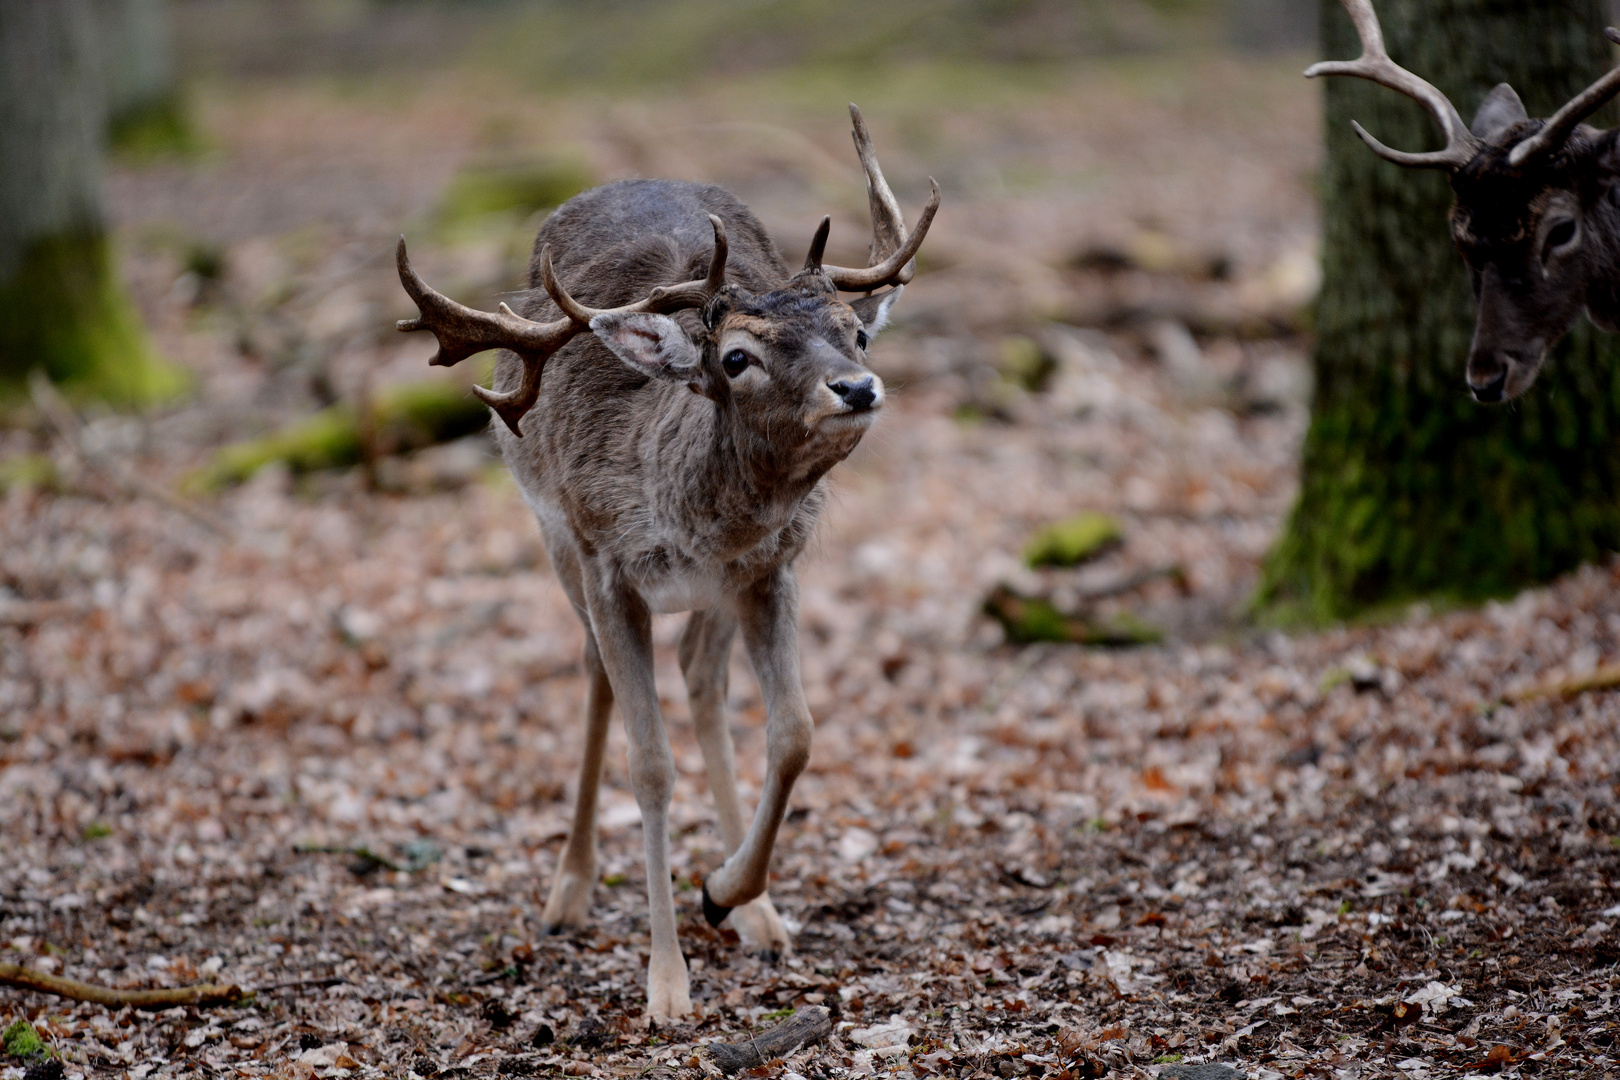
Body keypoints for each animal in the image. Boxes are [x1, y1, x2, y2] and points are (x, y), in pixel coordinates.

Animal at [395, 105, 939, 1016]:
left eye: (856, 332)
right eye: (737, 358)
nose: (857, 388)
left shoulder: (771, 568)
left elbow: (795, 735)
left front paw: (723, 892)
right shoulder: (605, 559)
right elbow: (649, 767)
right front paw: (666, 983)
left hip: (717, 593)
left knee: (700, 674)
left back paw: (756, 913)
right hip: (556, 542)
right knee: (594, 673)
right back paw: (569, 890)